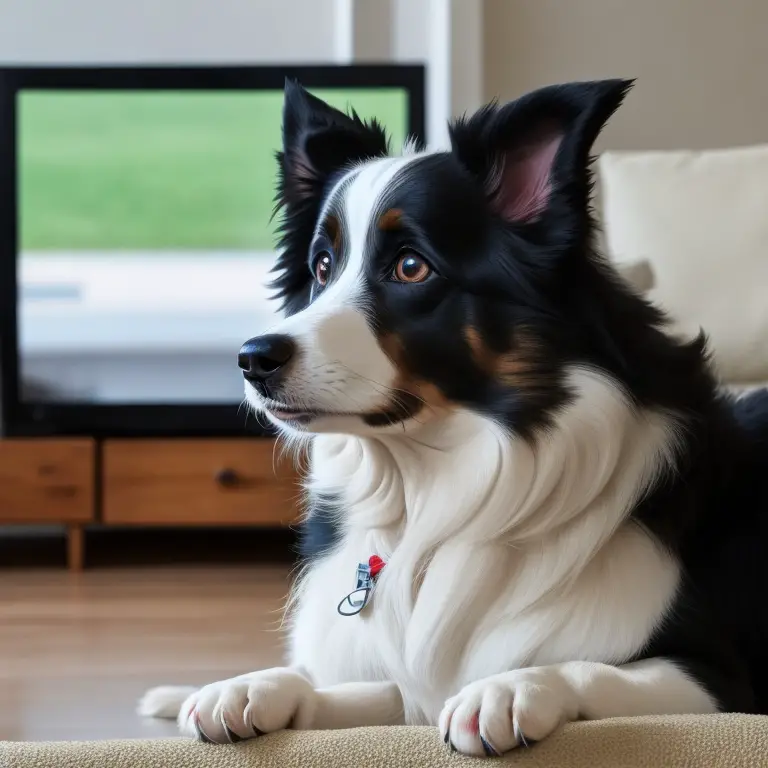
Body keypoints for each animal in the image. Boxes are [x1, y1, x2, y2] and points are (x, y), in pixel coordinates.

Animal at [141, 79, 768, 756]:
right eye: (323, 267)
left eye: (411, 266)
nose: (253, 359)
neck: (430, 494)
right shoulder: (402, 681)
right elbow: (354, 687)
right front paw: (252, 686)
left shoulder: (721, 681)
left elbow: (586, 667)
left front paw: (510, 688)